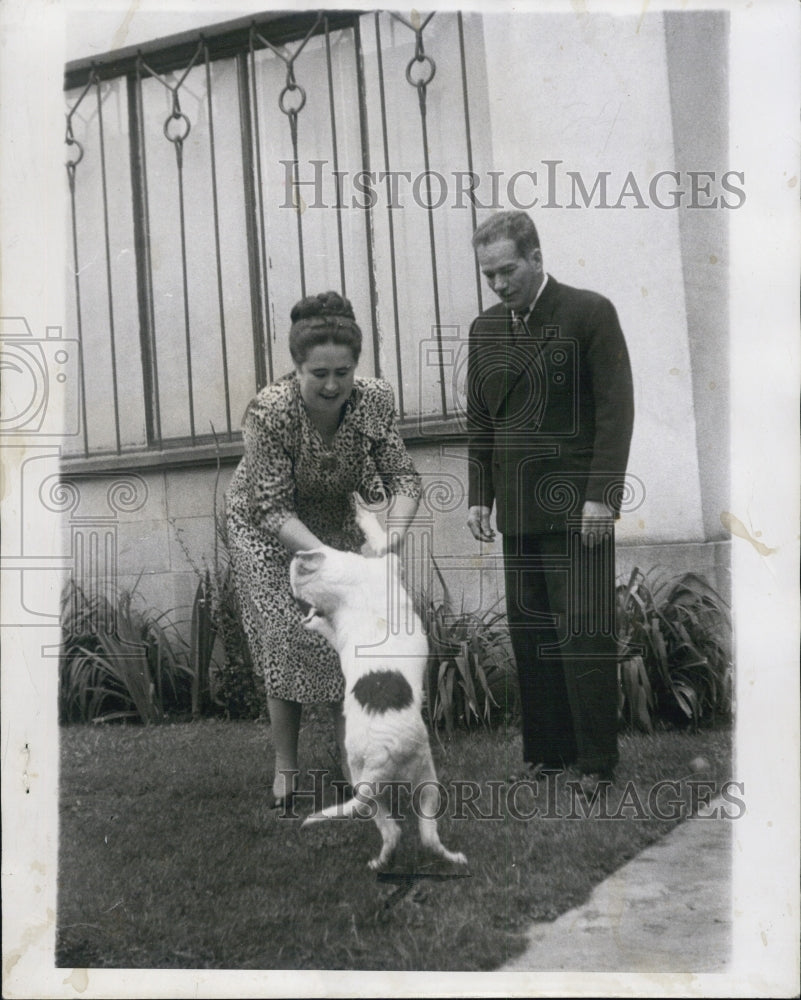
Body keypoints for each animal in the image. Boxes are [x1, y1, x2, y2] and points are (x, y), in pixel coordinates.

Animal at [288, 512, 466, 872]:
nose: (295, 602)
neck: (350, 588)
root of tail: (382, 757)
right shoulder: (389, 567)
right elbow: (382, 540)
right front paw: (366, 517)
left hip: (381, 786)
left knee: (398, 831)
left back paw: (387, 861)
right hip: (423, 781)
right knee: (418, 833)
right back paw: (442, 858)